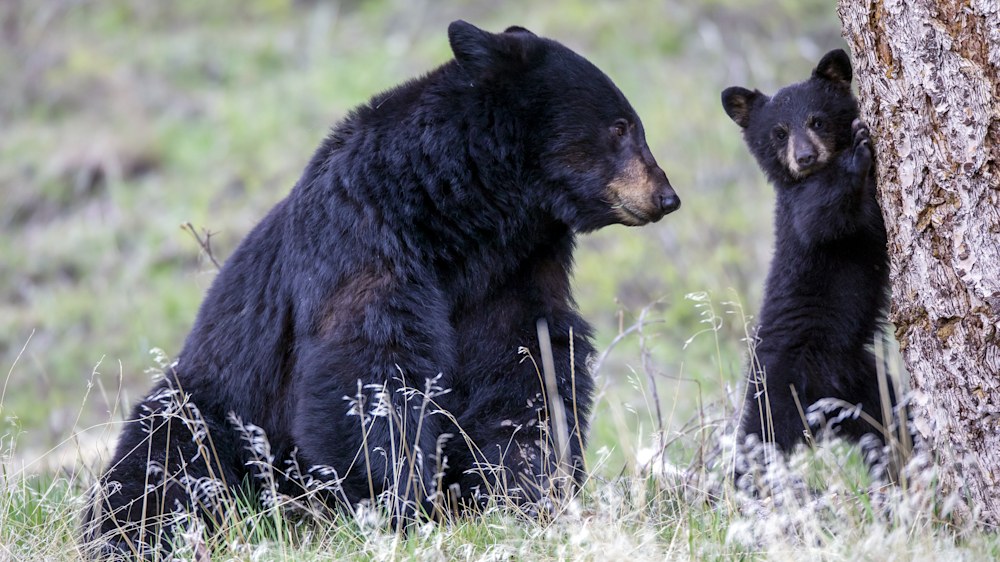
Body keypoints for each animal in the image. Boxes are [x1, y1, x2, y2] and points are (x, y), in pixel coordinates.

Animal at [84, 19, 680, 552]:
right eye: (621, 126)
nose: (667, 196)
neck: (469, 221)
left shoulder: (514, 271)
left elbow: (527, 370)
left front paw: (526, 493)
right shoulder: (362, 238)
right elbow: (370, 369)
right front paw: (397, 502)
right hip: (210, 408)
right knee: (164, 466)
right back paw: (135, 533)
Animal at [724, 49, 896, 460]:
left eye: (816, 120)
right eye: (779, 132)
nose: (804, 156)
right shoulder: (801, 212)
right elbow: (822, 218)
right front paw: (856, 153)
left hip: (865, 387)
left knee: (892, 427)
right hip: (780, 392)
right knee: (761, 440)